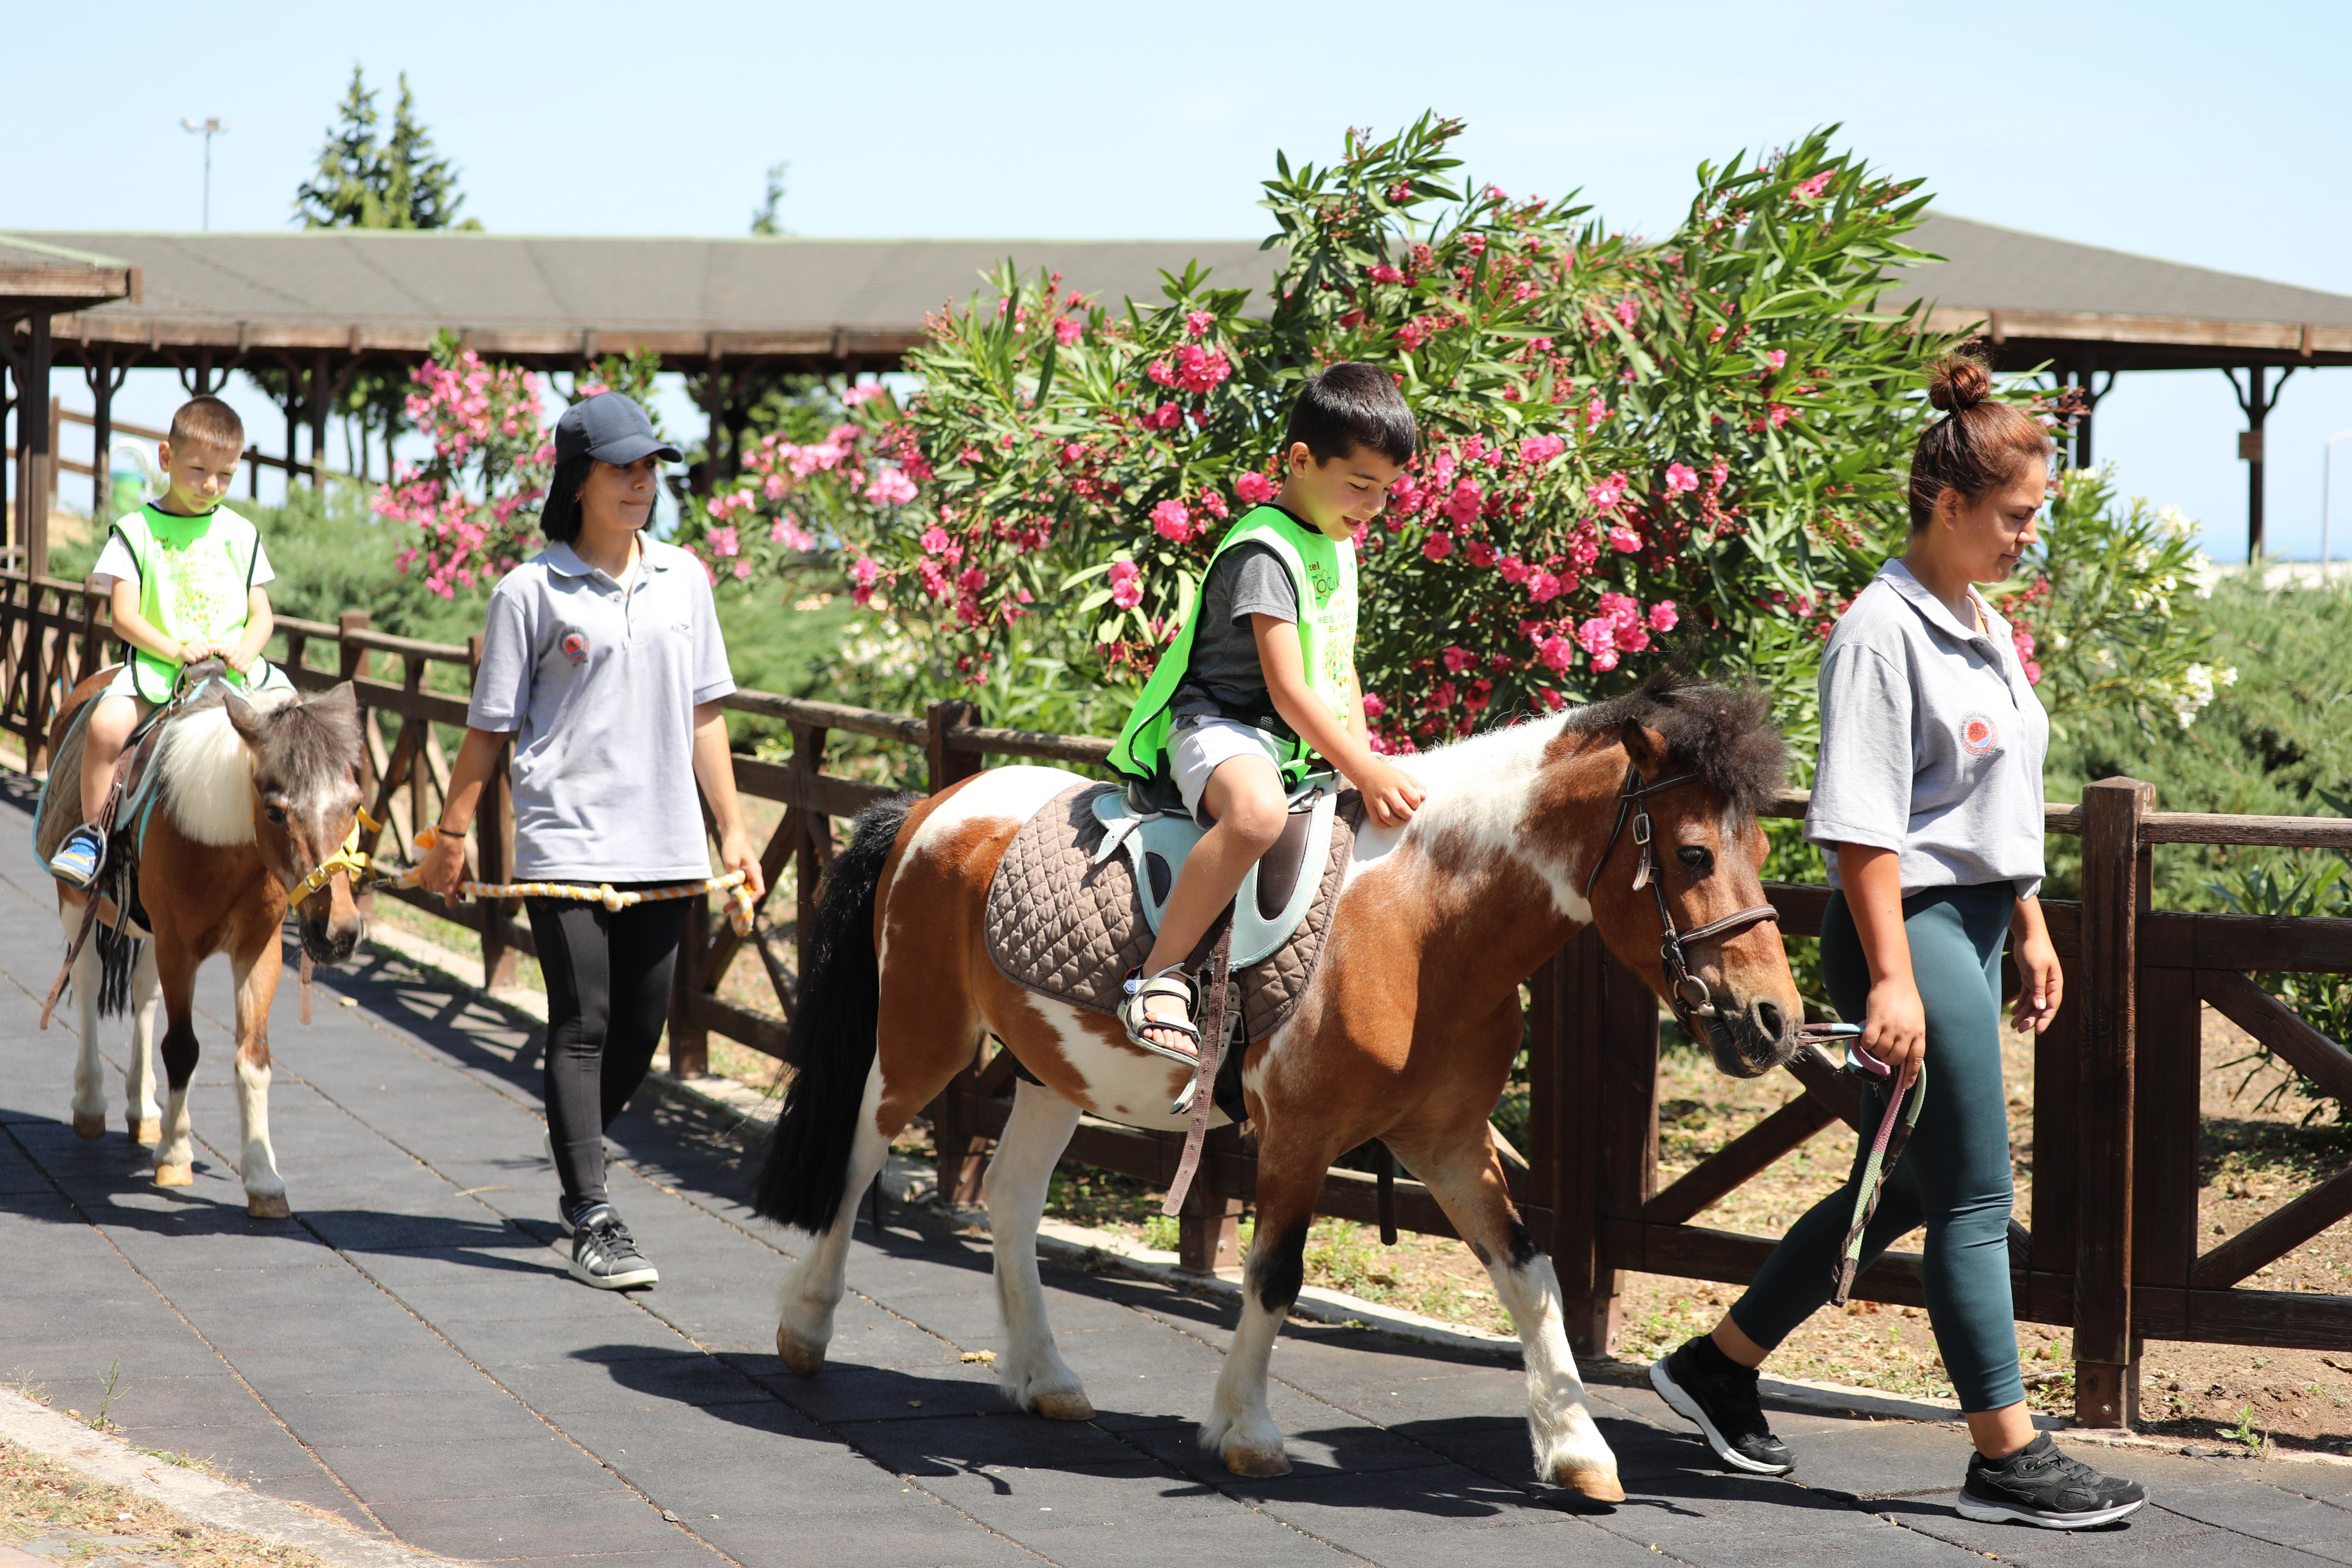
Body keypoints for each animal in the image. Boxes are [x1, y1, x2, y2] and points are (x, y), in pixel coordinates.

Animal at [49, 668, 367, 1222]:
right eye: (276, 812)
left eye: (353, 805)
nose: (338, 932)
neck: (225, 841)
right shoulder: (180, 947)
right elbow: (182, 1048)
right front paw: (176, 1155)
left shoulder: (258, 950)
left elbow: (254, 1058)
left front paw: (263, 1178)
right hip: (78, 903)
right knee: (88, 982)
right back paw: (91, 1104)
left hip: (150, 931)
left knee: (143, 992)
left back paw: (143, 1110)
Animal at [752, 677, 1797, 1504]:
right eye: (1695, 854)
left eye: (1757, 850)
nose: (1777, 1018)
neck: (1421, 923)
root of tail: (935, 801)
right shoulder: (1300, 1132)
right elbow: (1274, 1273)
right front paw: (1245, 1430)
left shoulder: (1449, 1140)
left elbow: (1530, 1270)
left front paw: (1577, 1447)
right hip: (921, 1035)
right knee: (859, 1151)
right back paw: (804, 1326)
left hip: (1054, 1068)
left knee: (1010, 1199)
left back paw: (1042, 1376)